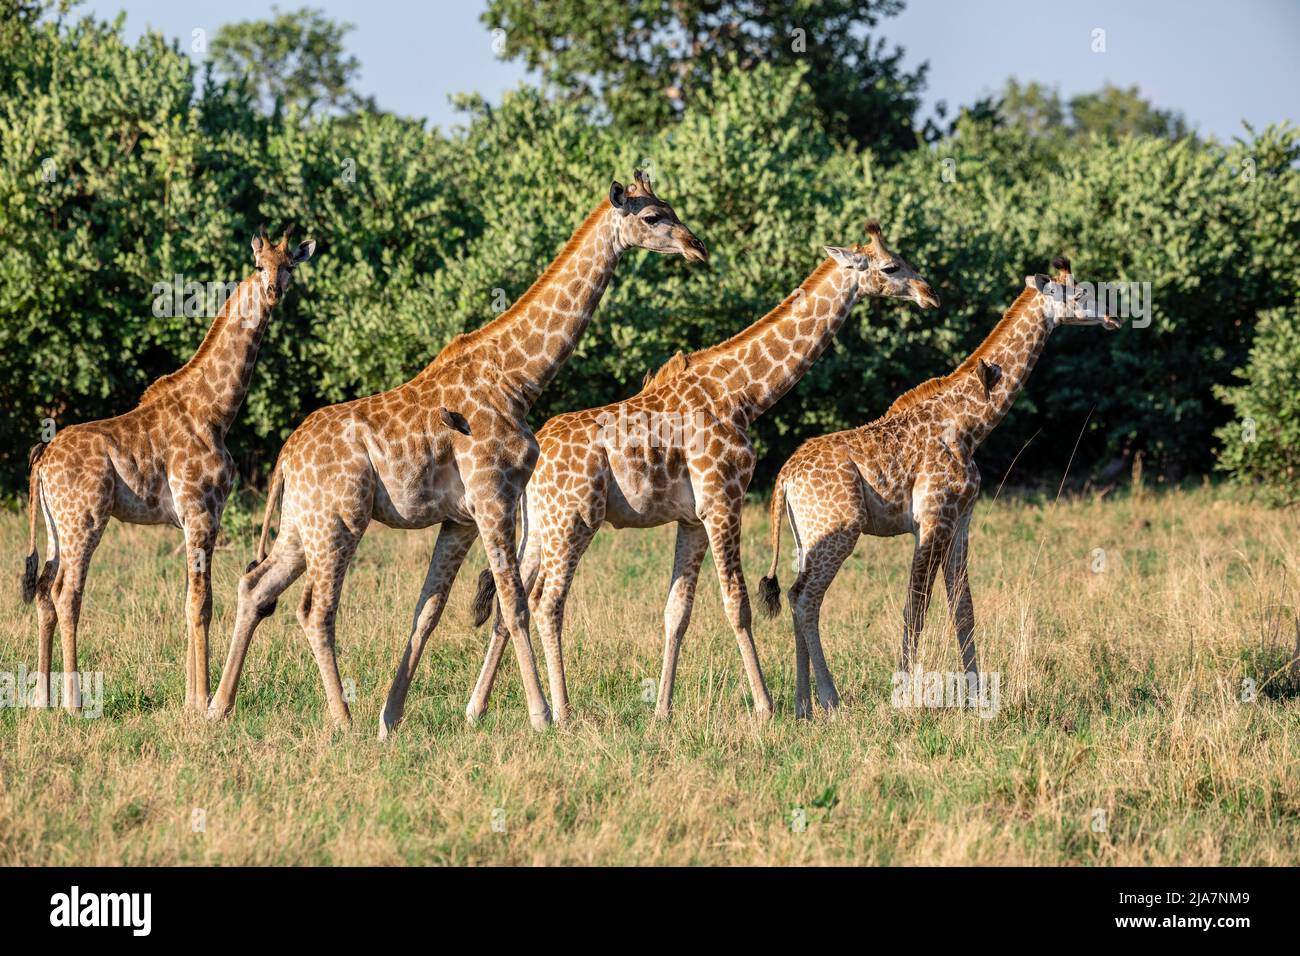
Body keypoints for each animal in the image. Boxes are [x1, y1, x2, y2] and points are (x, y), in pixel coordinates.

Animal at [20, 227, 317, 712]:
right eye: (259, 265)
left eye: (290, 265)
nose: (273, 291)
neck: (216, 410)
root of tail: (42, 459)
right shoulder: (201, 510)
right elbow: (202, 603)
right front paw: (200, 701)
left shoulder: (190, 518)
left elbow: (188, 601)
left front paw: (191, 698)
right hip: (85, 520)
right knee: (67, 593)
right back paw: (74, 702)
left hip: (53, 526)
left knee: (44, 591)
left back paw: (43, 699)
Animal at [205, 174, 712, 738]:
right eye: (652, 217)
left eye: (671, 207)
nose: (697, 246)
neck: (518, 378)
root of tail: (285, 457)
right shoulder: (494, 496)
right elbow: (513, 604)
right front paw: (540, 716)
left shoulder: (461, 518)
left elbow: (427, 610)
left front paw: (390, 718)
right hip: (341, 519)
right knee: (315, 609)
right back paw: (342, 718)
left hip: (302, 522)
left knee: (255, 586)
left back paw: (219, 707)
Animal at [462, 221, 941, 723]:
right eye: (891, 267)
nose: (929, 293)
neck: (743, 393)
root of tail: (537, 456)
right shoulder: (723, 500)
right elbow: (738, 603)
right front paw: (765, 707)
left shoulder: (692, 518)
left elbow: (678, 611)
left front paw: (662, 710)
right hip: (573, 519)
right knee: (547, 602)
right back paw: (562, 713)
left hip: (540, 523)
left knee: (511, 599)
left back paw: (478, 706)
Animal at [759, 257, 1123, 712]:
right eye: (1078, 292)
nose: (1114, 316)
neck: (971, 423)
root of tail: (783, 479)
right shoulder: (933, 519)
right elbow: (916, 606)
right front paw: (904, 696)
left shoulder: (960, 521)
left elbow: (963, 608)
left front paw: (978, 696)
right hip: (839, 531)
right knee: (807, 599)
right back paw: (830, 700)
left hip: (806, 537)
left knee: (795, 595)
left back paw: (804, 706)